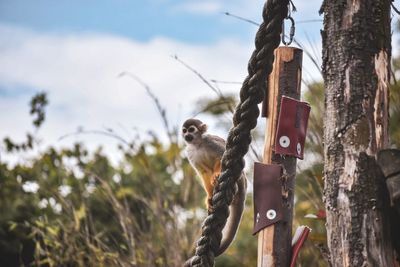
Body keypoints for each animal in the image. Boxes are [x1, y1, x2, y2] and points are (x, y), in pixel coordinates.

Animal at [182, 119, 247, 258]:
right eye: (184, 131)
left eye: (191, 130)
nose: (186, 135)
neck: (198, 144)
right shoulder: (189, 153)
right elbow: (203, 172)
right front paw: (209, 198)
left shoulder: (211, 141)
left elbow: (221, 157)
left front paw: (216, 175)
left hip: (241, 179)